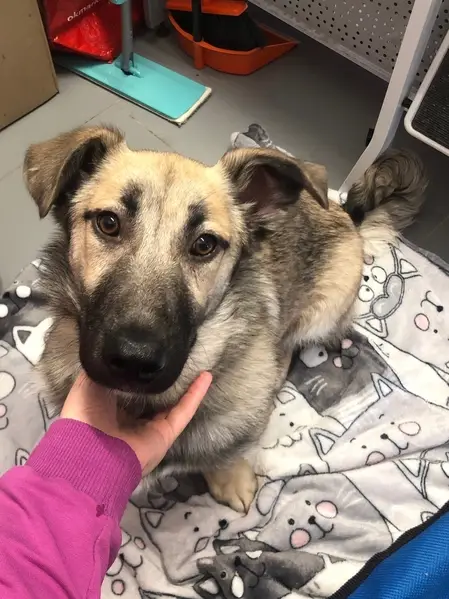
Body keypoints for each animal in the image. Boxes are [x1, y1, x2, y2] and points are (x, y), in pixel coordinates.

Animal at [23, 125, 426, 512]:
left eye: (204, 244)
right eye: (108, 223)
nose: (133, 360)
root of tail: (346, 215)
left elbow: (226, 454)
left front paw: (230, 478)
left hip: (320, 315)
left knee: (288, 348)